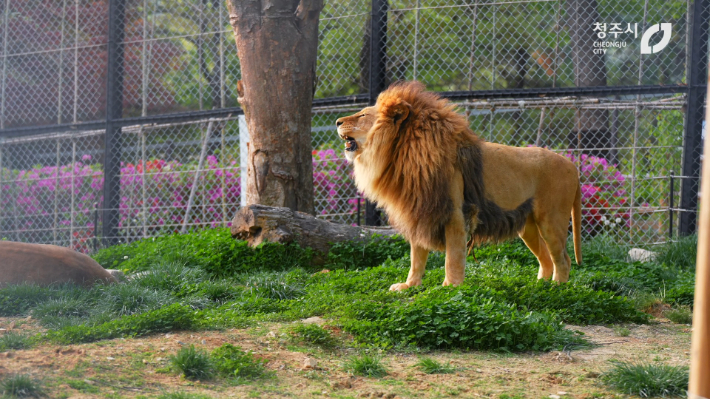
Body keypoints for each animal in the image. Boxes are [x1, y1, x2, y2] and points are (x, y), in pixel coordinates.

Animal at [336, 82, 580, 294]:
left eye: (362, 115)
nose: (337, 122)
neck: (401, 153)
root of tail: (572, 165)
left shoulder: (454, 214)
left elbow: (452, 257)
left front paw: (449, 288)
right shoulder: (417, 211)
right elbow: (416, 257)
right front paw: (409, 285)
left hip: (551, 220)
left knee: (563, 259)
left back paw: (558, 288)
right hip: (527, 226)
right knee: (546, 257)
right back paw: (539, 286)